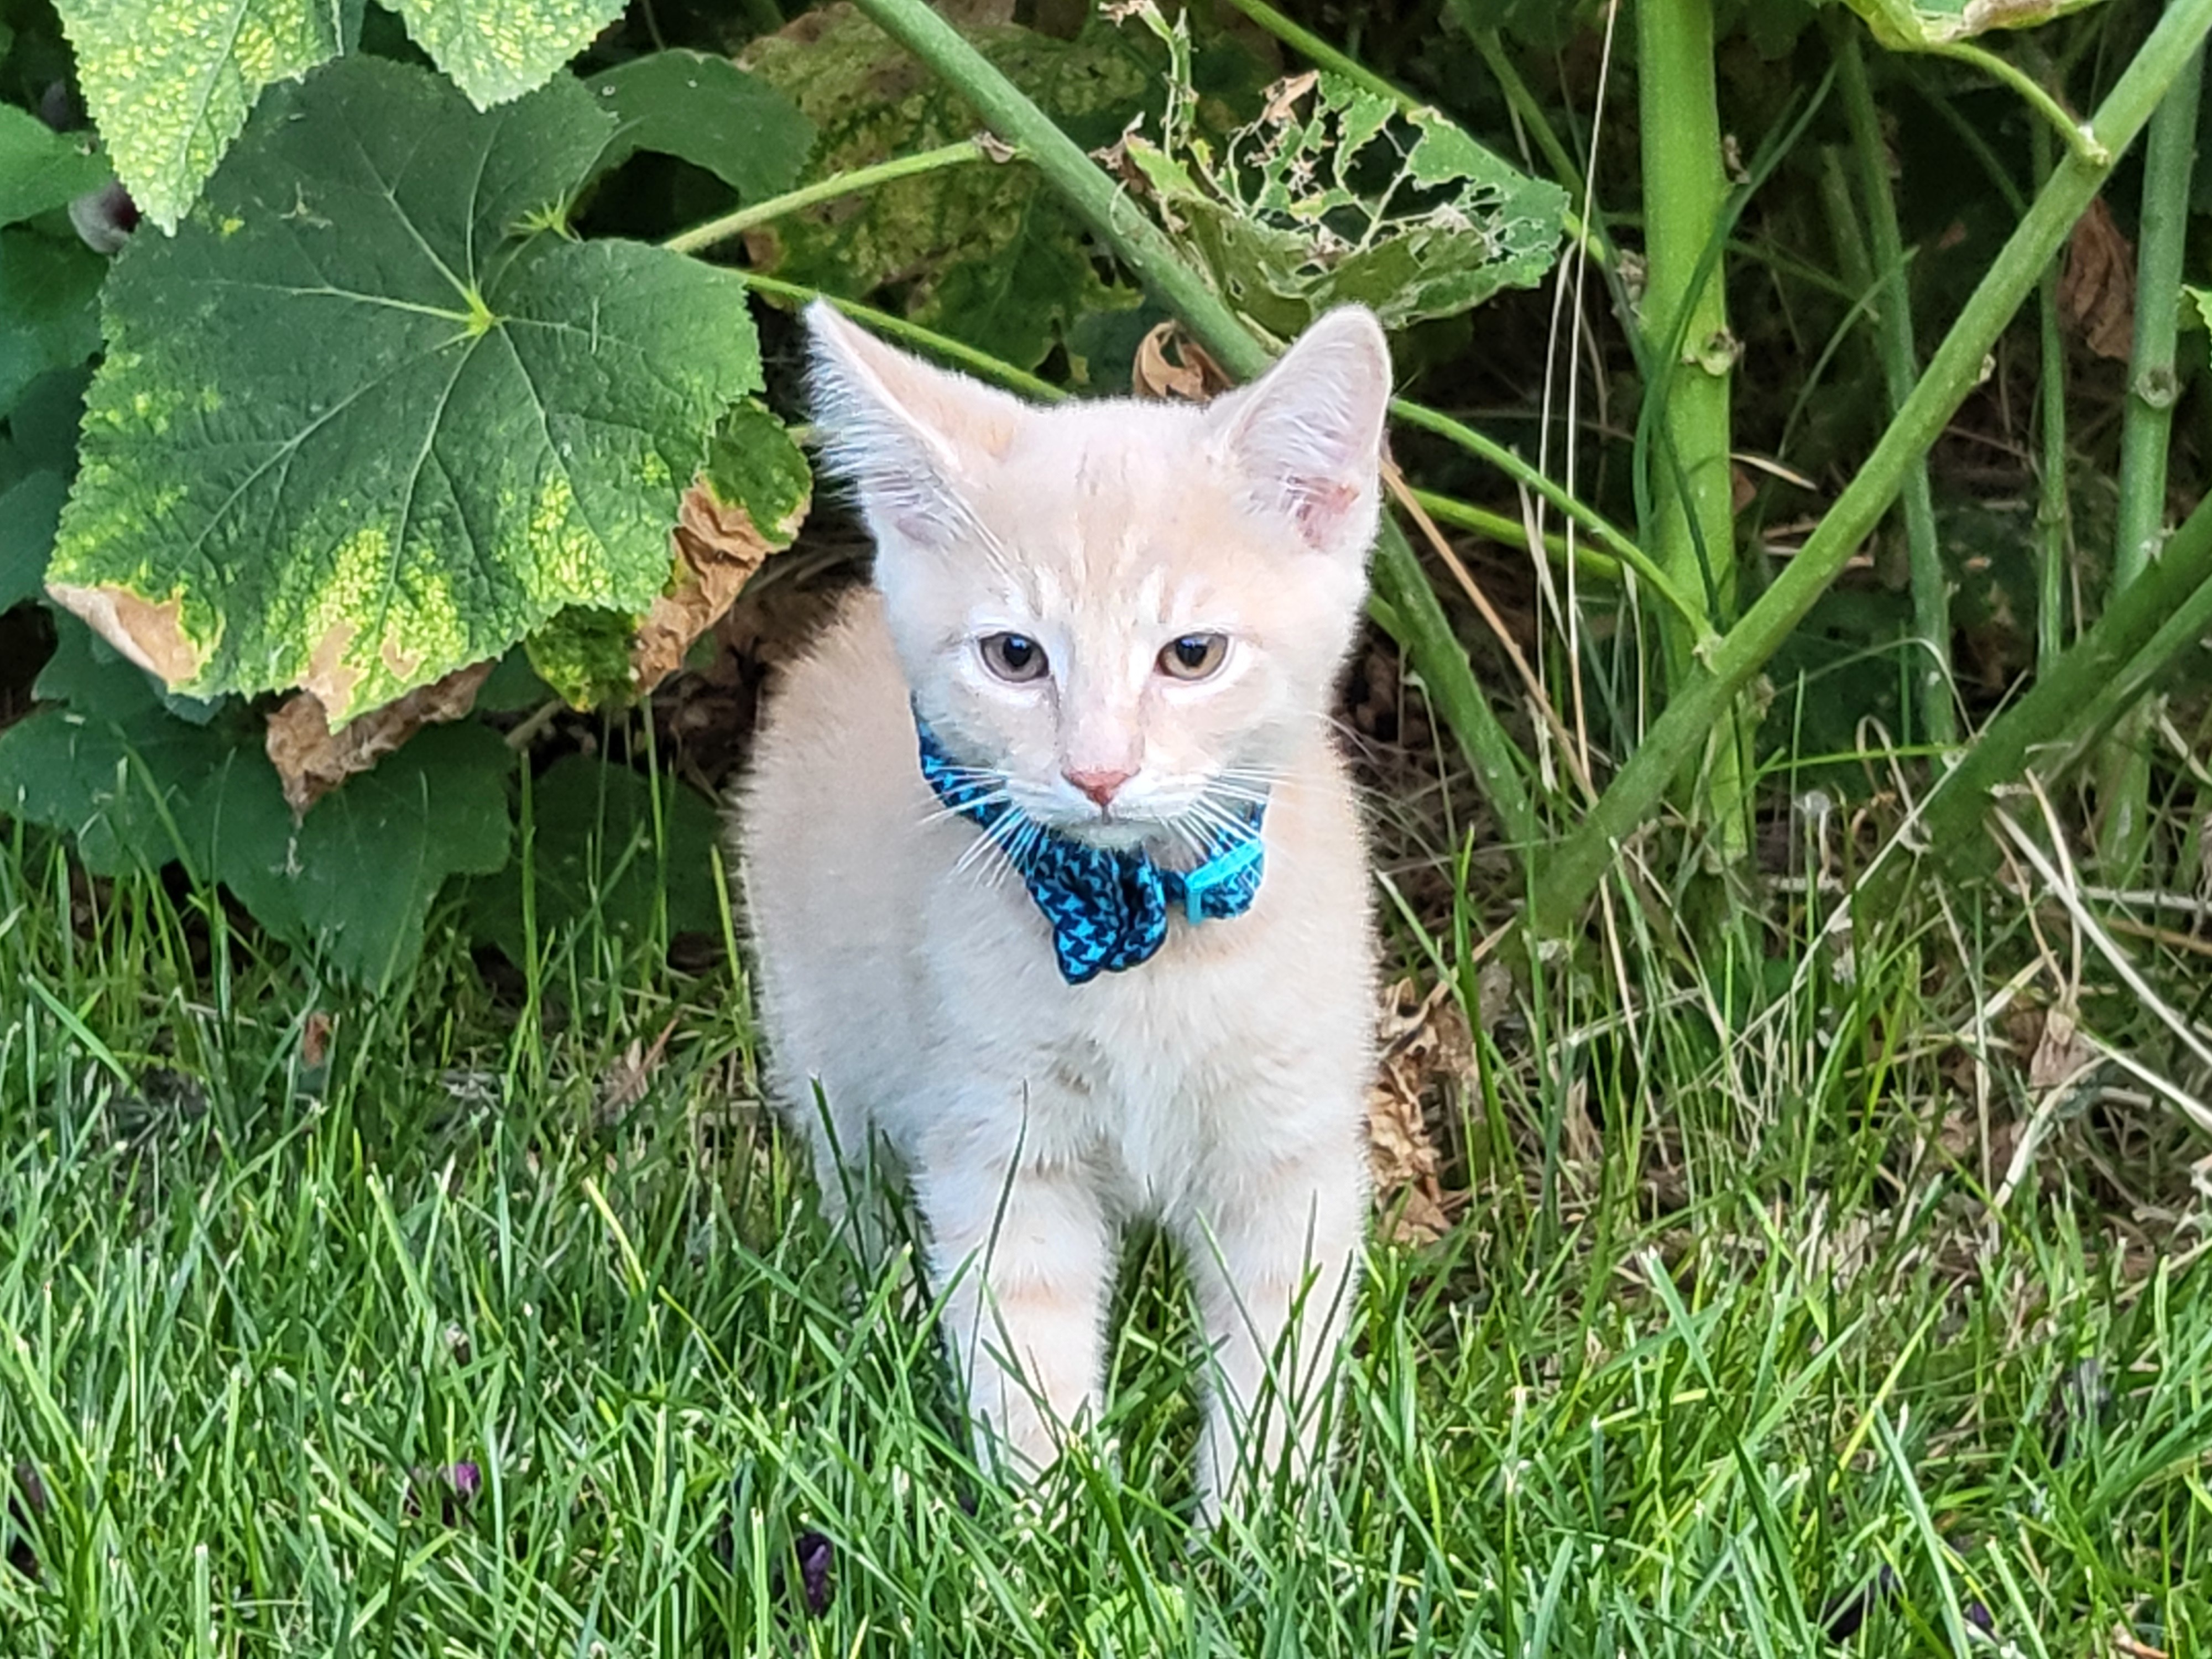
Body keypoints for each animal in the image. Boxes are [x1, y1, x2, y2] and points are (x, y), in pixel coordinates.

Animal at [743, 303, 1398, 1522]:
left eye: (1191, 656)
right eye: (1015, 656)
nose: (1098, 771)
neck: (1148, 939)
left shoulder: (1288, 1152)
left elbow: (1277, 1351)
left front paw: (1255, 1525)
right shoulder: (995, 1139)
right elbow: (1025, 1342)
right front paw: (1051, 1524)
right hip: (818, 1038)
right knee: (851, 1181)